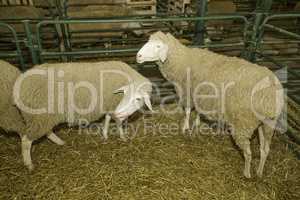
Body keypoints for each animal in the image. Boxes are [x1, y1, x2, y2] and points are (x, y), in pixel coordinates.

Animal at [13, 61, 152, 170]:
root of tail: (17, 89)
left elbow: (107, 118)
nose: (119, 112)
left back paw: (60, 142)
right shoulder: (113, 104)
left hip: (41, 117)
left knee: (46, 132)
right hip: (39, 116)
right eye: (124, 94)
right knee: (26, 139)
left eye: (138, 99)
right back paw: (29, 164)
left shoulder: (109, 105)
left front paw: (105, 134)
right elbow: (117, 122)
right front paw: (122, 136)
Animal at [136, 31, 284, 178]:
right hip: (267, 123)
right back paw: (259, 172)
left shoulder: (187, 92)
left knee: (248, 153)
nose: (138, 56)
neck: (182, 60)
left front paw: (185, 128)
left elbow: (188, 111)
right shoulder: (199, 95)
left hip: (243, 123)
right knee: (265, 149)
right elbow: (197, 112)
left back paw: (247, 173)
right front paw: (195, 125)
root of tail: (271, 91)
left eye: (158, 46)